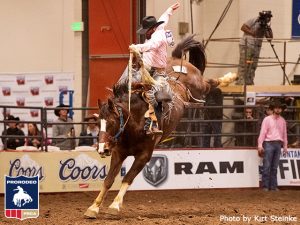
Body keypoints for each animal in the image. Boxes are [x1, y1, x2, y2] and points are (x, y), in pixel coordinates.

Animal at [83, 35, 236, 218]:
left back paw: (230, 77)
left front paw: (114, 205)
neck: (135, 123)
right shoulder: (119, 153)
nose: (102, 149)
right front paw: (93, 207)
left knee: (210, 82)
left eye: (112, 122)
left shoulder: (144, 155)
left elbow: (128, 178)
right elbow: (108, 180)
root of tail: (176, 59)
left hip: (199, 87)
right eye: (97, 123)